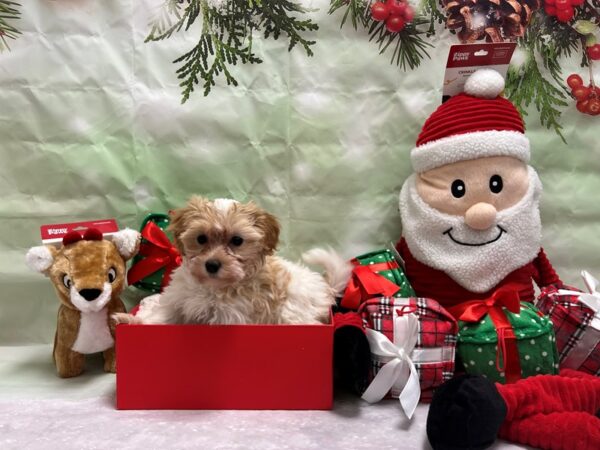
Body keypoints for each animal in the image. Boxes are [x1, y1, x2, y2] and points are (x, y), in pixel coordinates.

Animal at [113, 197, 352, 324]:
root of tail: (325, 289)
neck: (213, 287)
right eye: (201, 238)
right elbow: (161, 317)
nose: (212, 264)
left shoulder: (229, 317)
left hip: (293, 315)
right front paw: (131, 321)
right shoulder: (177, 300)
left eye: (237, 241)